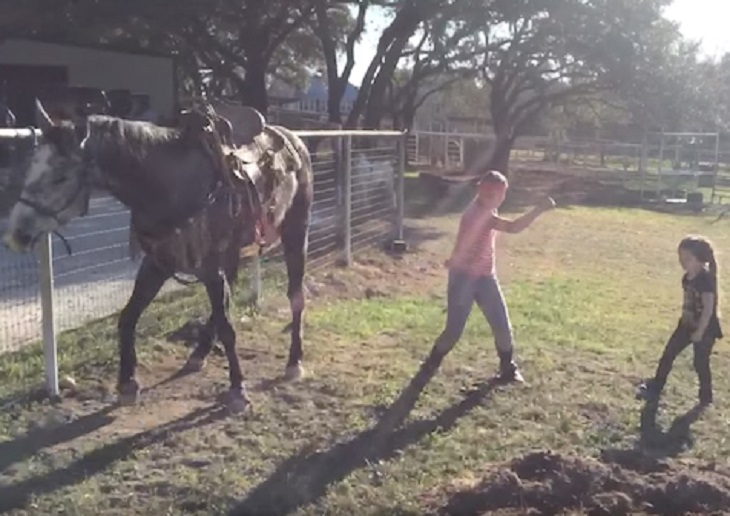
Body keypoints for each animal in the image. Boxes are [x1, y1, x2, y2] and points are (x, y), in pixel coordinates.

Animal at [0, 99, 312, 414]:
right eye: (30, 169)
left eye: (60, 177)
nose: (16, 235)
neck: (171, 187)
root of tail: (294, 140)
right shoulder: (158, 263)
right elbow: (128, 317)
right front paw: (127, 383)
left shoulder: (210, 268)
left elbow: (228, 328)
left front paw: (237, 389)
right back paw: (199, 353)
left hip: (296, 234)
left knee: (295, 296)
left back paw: (294, 362)